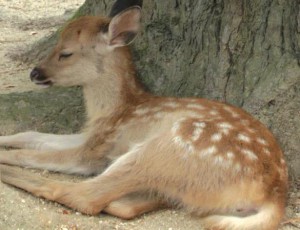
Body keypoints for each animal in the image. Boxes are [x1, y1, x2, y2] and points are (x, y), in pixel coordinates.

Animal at [0, 0, 288, 229]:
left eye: (66, 53)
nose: (34, 73)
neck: (114, 110)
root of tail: (273, 196)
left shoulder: (94, 150)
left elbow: (30, 154)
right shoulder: (91, 135)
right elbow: (32, 135)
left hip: (166, 149)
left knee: (81, 195)